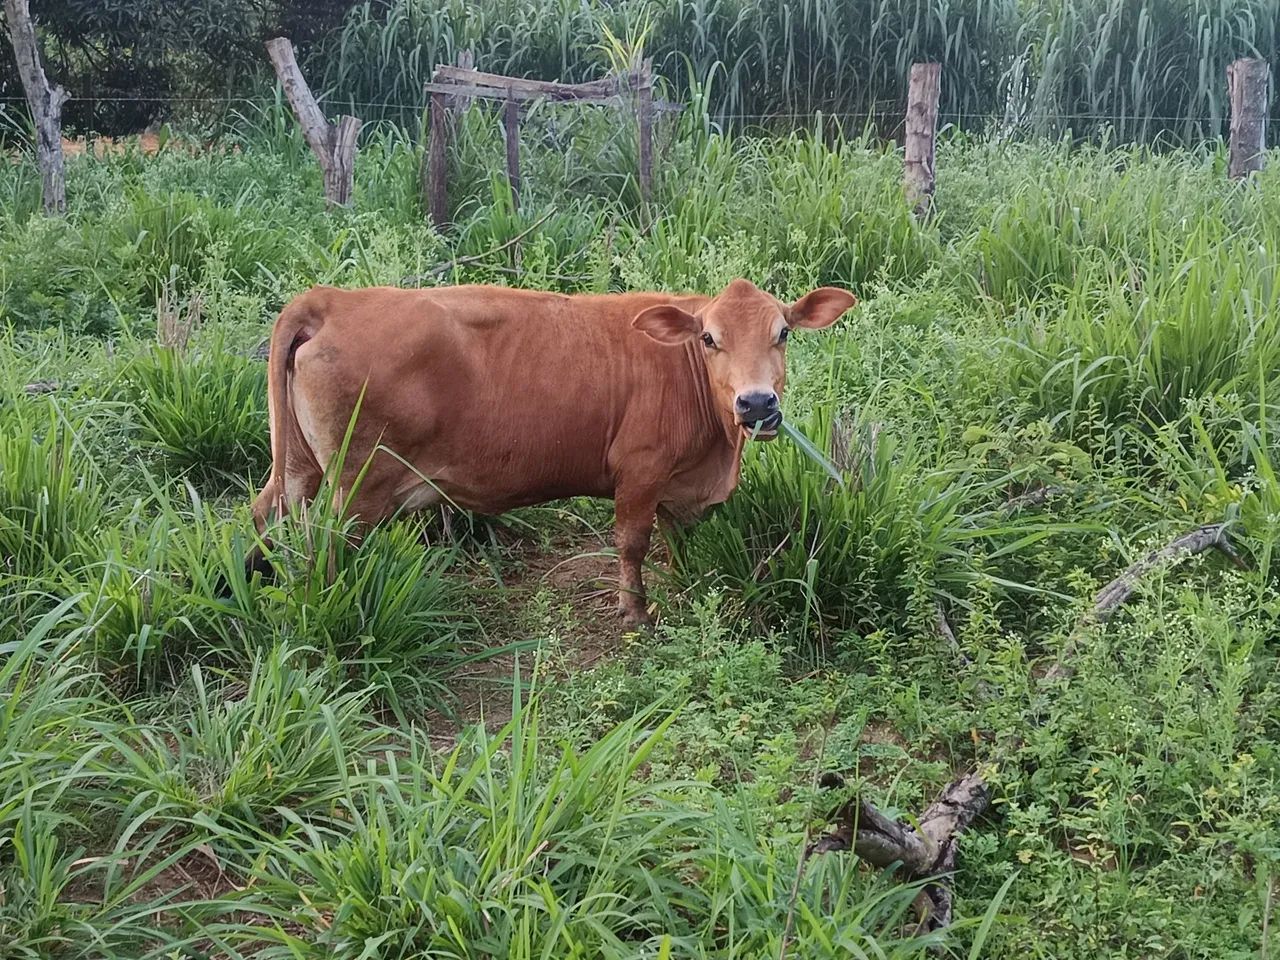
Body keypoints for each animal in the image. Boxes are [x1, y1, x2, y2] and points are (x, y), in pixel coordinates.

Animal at [249, 278, 857, 628]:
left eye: (783, 332)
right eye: (709, 338)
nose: (756, 403)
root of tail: (333, 298)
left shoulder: (677, 484)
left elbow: (680, 542)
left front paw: (689, 586)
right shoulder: (641, 470)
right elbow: (632, 543)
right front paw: (635, 611)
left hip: (299, 467)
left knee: (266, 515)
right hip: (359, 485)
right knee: (323, 544)